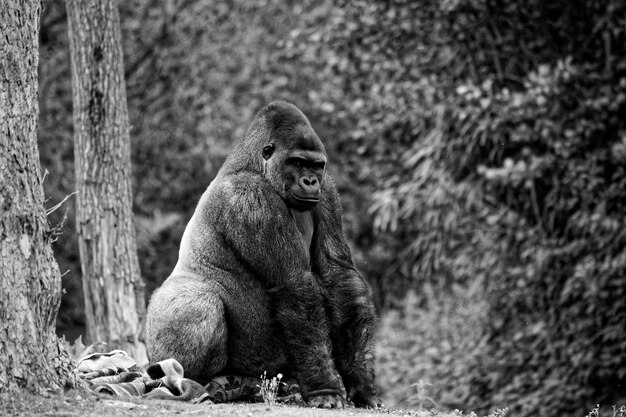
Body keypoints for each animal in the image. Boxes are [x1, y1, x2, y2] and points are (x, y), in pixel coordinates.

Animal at [146, 102, 380, 408]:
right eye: (296, 162)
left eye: (316, 165)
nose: (310, 181)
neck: (256, 165)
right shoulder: (250, 195)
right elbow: (294, 285)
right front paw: (324, 387)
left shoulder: (327, 188)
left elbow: (338, 274)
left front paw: (360, 380)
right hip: (165, 352)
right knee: (197, 301)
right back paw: (199, 380)